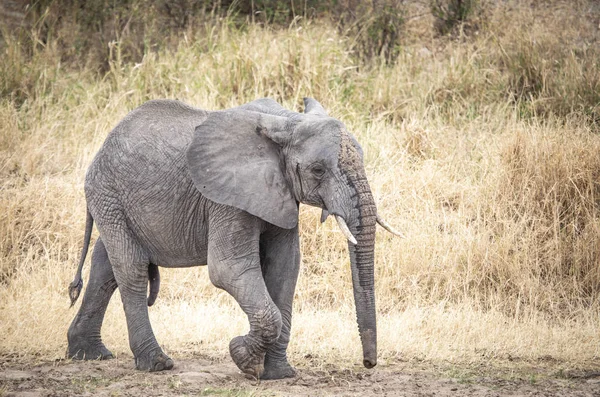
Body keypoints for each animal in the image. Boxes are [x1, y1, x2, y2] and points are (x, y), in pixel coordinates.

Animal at [65, 97, 400, 378]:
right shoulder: (226, 198)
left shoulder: (280, 193)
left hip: (114, 201)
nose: (368, 364)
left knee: (105, 264)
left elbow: (285, 268)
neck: (287, 121)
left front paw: (279, 374)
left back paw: (88, 354)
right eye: (318, 170)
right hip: (107, 192)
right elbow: (229, 269)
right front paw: (244, 359)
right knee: (130, 268)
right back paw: (156, 364)